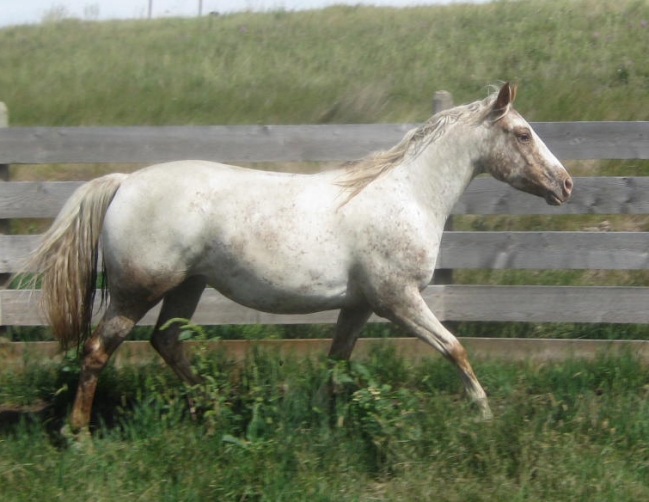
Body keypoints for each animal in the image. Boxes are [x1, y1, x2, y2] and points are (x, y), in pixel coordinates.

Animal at [22, 84, 572, 434]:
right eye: (523, 133)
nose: (565, 185)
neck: (407, 195)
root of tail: (123, 182)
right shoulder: (399, 300)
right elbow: (455, 348)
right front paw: (484, 414)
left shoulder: (359, 305)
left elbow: (337, 363)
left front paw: (330, 420)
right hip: (137, 290)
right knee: (98, 350)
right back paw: (80, 435)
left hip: (187, 286)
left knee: (167, 342)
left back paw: (216, 409)